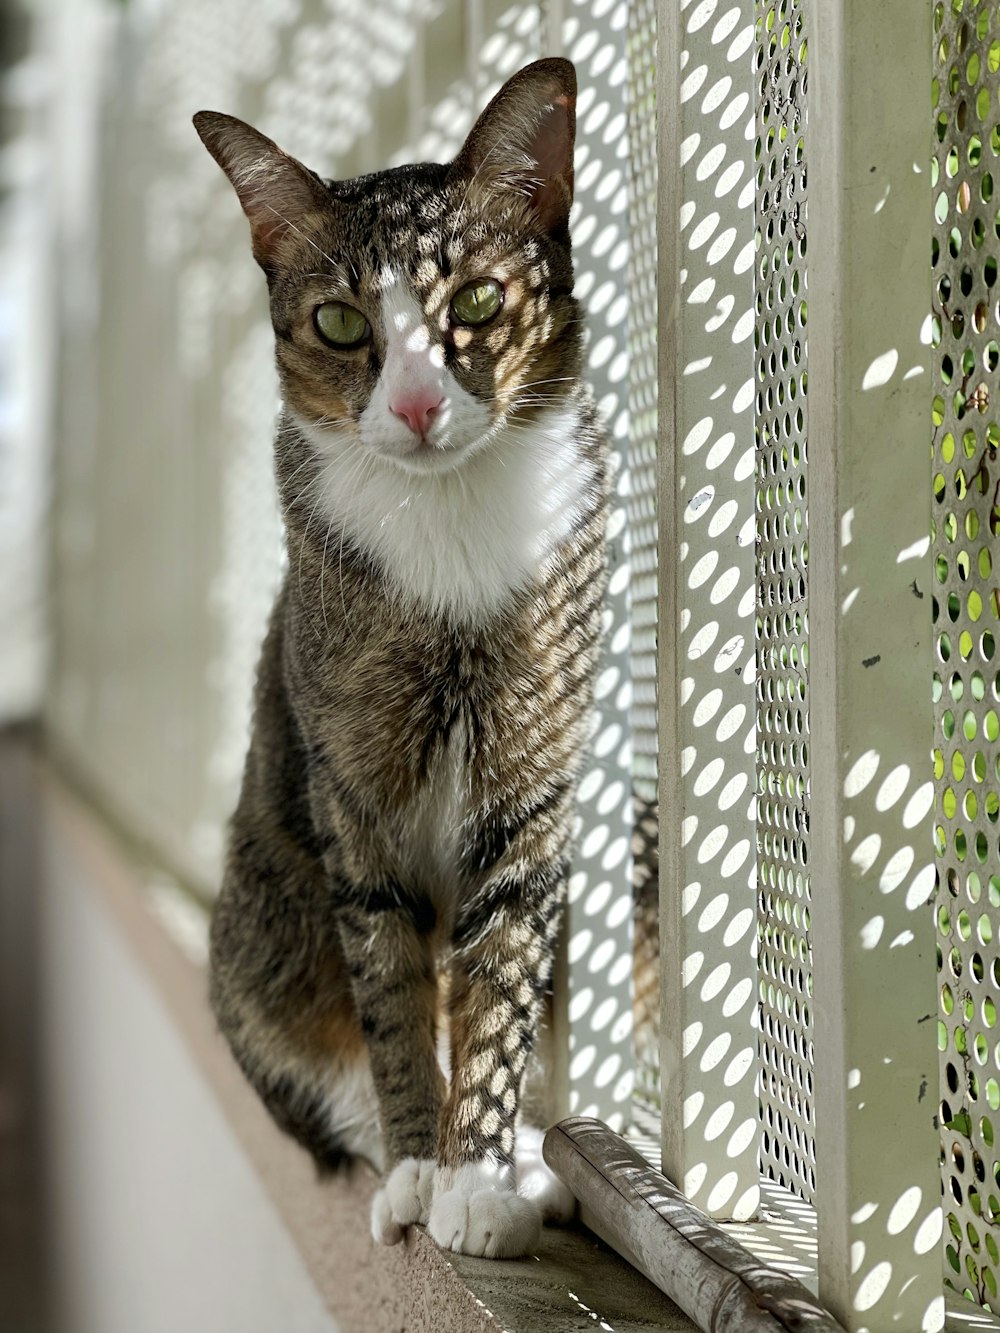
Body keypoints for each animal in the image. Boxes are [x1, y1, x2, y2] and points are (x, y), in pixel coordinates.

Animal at [192, 54, 608, 1258]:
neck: (448, 527)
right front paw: (422, 1164)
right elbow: (389, 990)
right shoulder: (352, 789)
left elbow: (499, 987)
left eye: (475, 302)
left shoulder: (532, 791)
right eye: (338, 321)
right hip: (257, 930)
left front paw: (479, 1175)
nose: (418, 404)